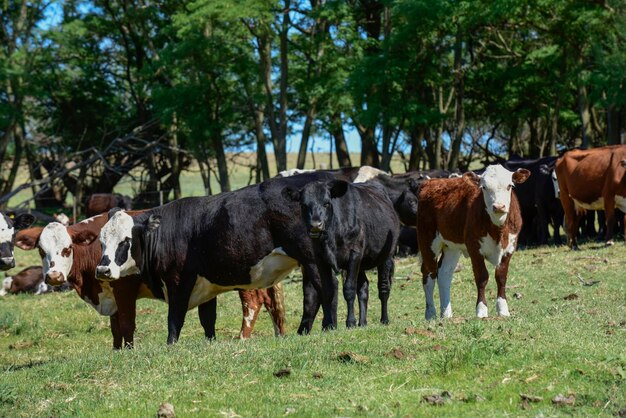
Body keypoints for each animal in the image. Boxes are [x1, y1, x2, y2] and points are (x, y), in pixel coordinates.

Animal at [16, 214, 286, 348]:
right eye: (41, 250)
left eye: (67, 248)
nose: (53, 277)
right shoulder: (111, 293)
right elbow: (115, 328)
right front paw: (117, 351)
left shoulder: (124, 289)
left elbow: (127, 324)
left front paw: (130, 351)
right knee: (269, 302)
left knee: (252, 302)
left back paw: (242, 337)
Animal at [280, 180, 398, 326]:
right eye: (303, 205)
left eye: (327, 203)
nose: (316, 225)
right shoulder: (320, 258)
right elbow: (327, 291)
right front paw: (329, 325)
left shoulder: (354, 253)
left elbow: (349, 289)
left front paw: (350, 322)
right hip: (362, 264)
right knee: (363, 287)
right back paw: (362, 323)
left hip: (387, 256)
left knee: (384, 287)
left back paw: (384, 320)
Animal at [416, 164, 528, 320]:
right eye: (484, 187)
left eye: (509, 186)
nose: (499, 207)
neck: (498, 232)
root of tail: (431, 182)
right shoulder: (474, 248)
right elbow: (482, 277)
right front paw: (481, 310)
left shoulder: (510, 248)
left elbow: (501, 277)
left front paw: (503, 310)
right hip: (427, 241)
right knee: (429, 274)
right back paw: (430, 313)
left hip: (452, 247)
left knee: (444, 273)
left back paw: (446, 314)